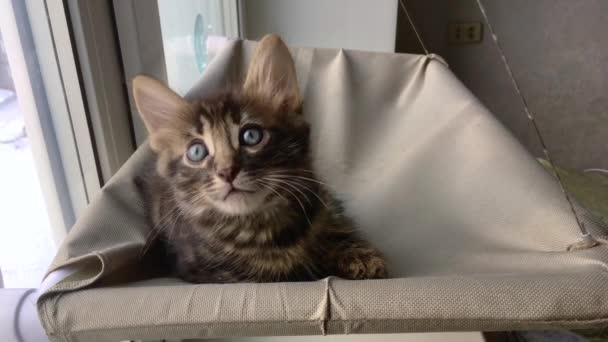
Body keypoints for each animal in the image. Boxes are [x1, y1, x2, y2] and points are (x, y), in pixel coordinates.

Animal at [135, 34, 388, 284]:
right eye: (197, 152)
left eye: (251, 135)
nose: (227, 171)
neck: (266, 226)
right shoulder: (208, 270)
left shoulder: (325, 203)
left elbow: (338, 230)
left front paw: (362, 257)